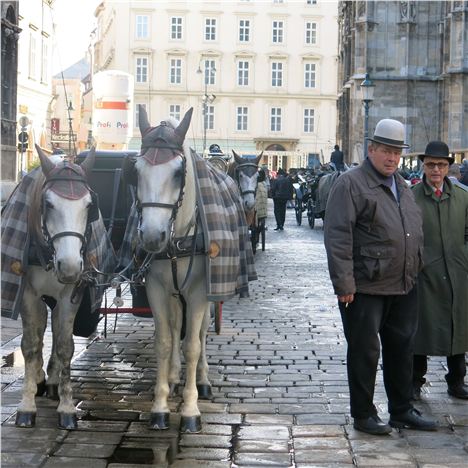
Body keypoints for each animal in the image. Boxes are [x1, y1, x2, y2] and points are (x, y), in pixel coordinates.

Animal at [14, 144, 97, 430]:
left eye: (89, 205)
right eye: (48, 204)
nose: (69, 265)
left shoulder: (71, 294)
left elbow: (64, 345)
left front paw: (67, 406)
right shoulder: (28, 294)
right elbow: (31, 343)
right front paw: (26, 406)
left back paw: (50, 380)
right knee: (39, 333)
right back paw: (40, 378)